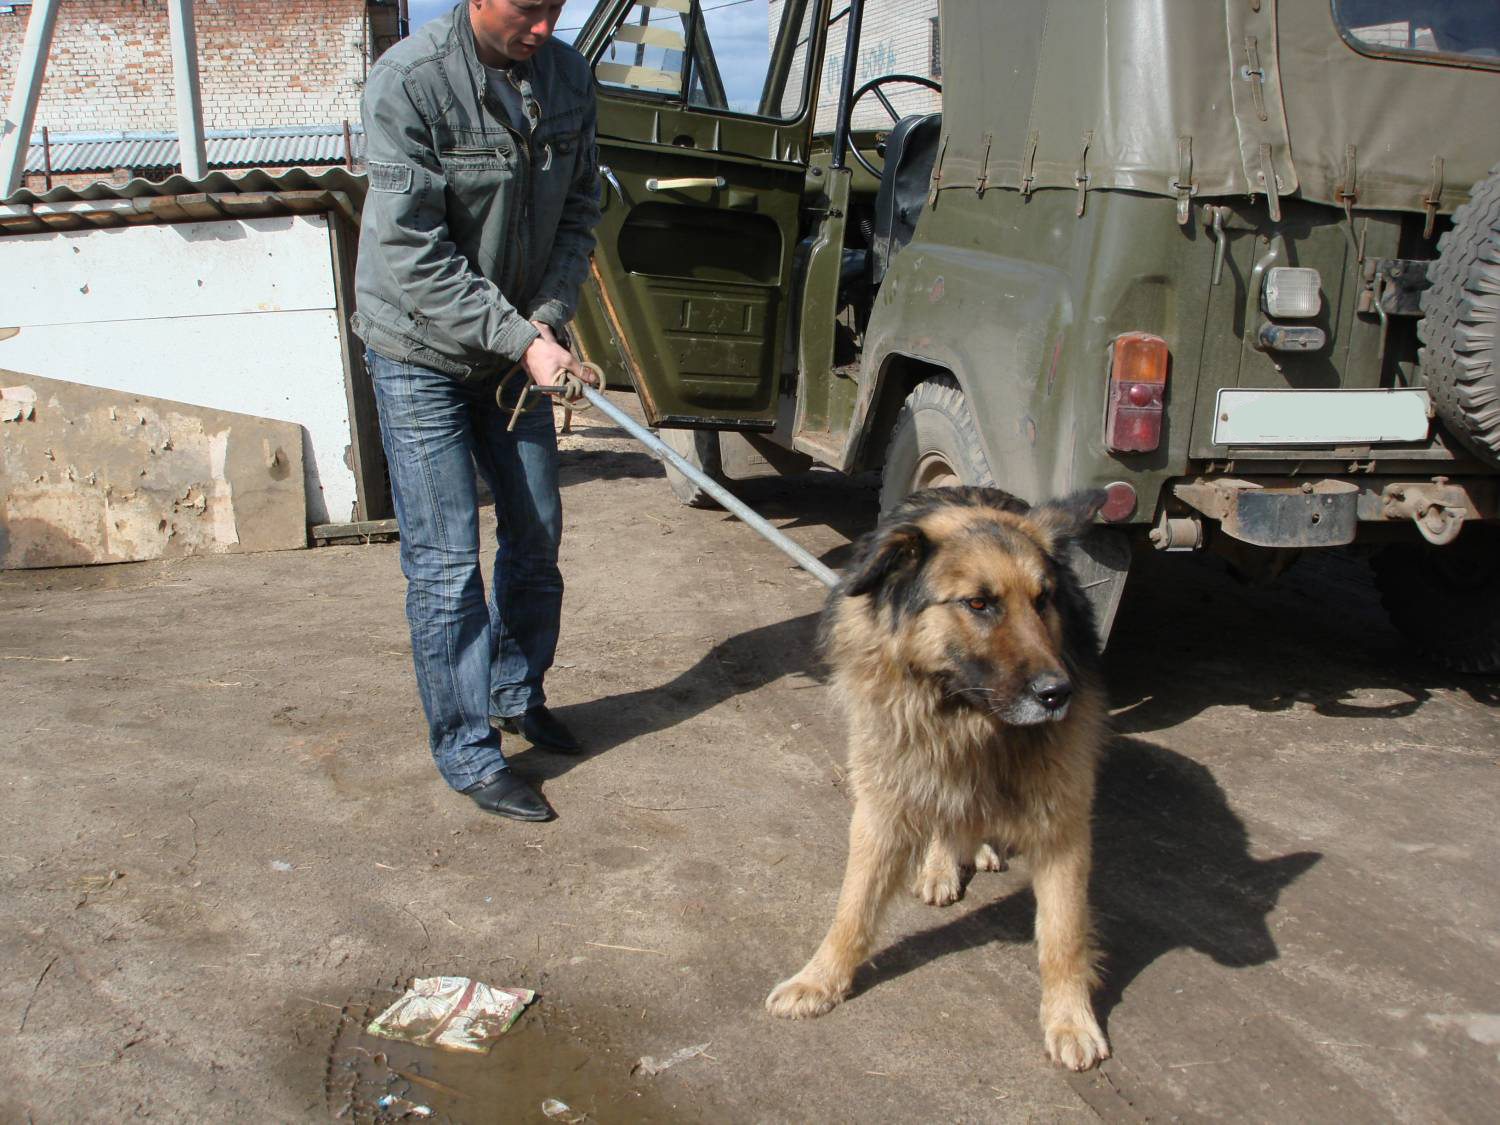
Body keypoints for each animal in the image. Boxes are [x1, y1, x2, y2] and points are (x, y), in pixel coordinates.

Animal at [765, 486, 1111, 1071]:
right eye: (978, 604)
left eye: (1044, 600)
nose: (1058, 694)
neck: (966, 717)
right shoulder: (882, 804)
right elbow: (852, 908)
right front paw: (821, 979)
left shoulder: (1062, 824)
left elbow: (1063, 935)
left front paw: (1070, 1019)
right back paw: (941, 863)